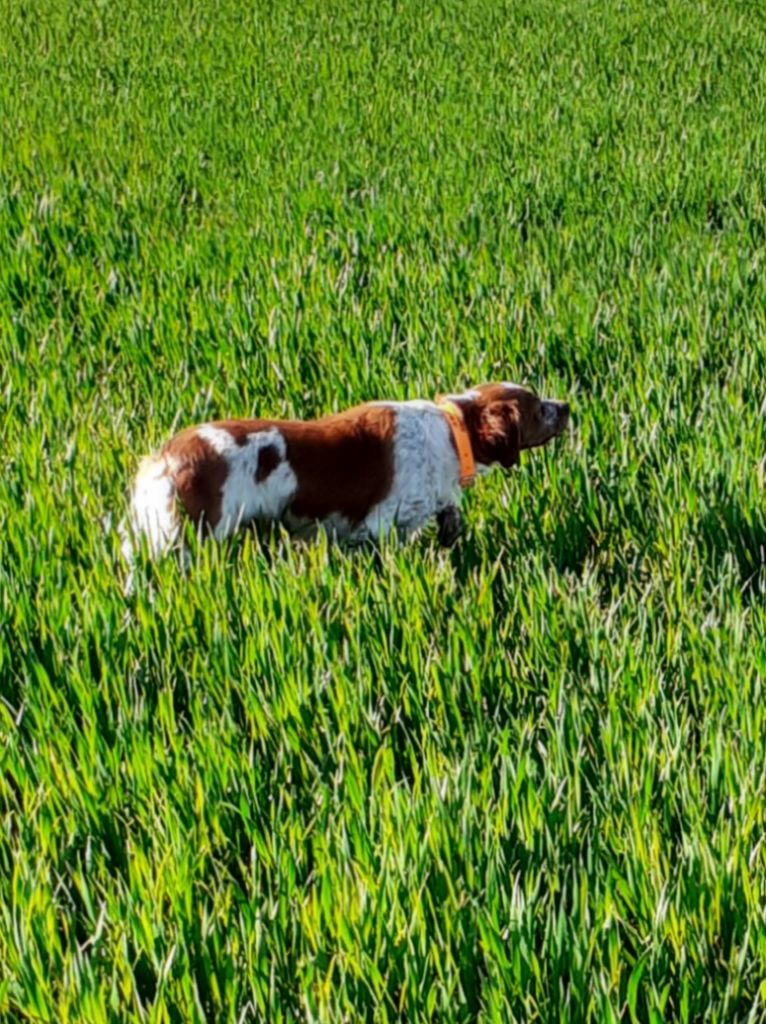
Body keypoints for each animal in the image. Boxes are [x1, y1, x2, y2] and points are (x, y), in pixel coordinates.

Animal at [121, 385, 569, 565]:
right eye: (536, 407)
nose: (566, 405)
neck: (451, 428)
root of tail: (163, 458)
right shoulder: (380, 525)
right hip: (188, 538)